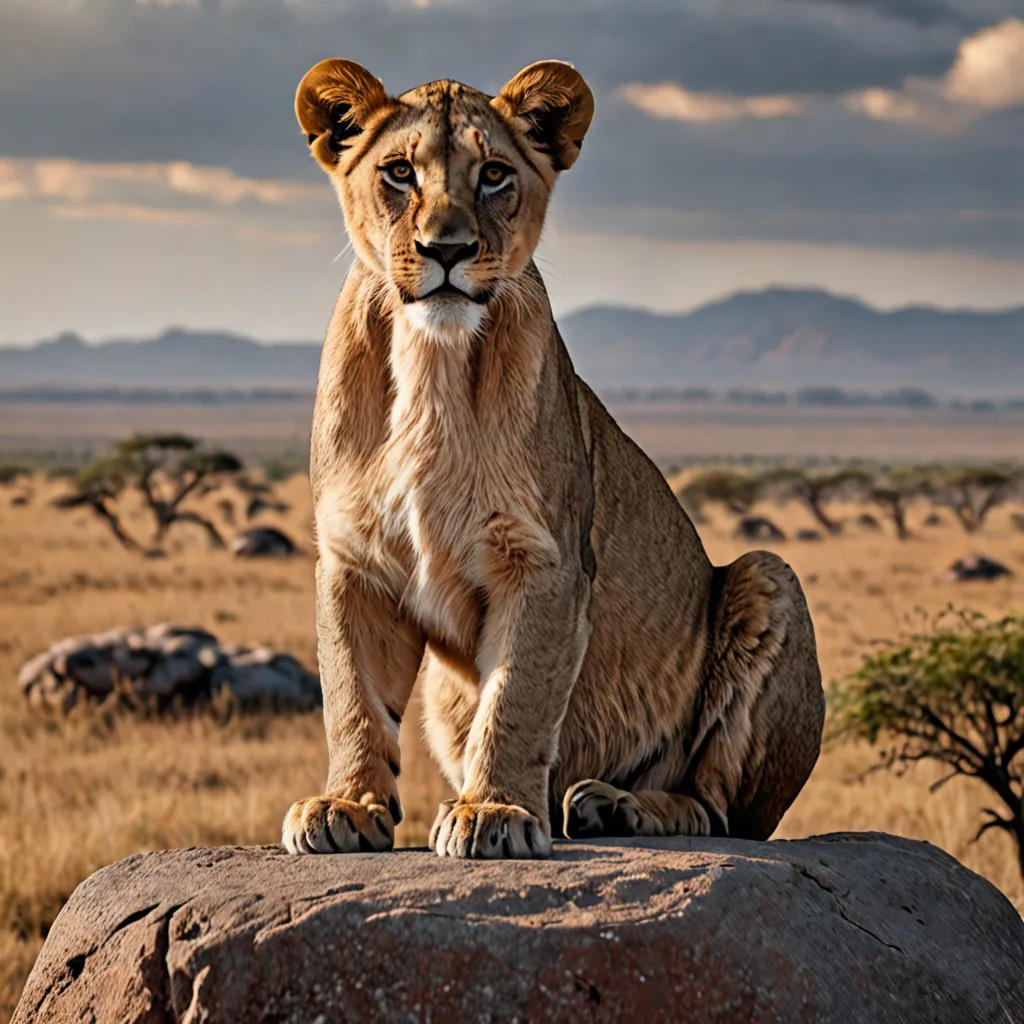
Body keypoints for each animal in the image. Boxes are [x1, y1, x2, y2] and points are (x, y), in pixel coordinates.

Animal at [282, 58, 825, 859]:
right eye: (400, 172)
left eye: (495, 175)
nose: (448, 249)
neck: (433, 356)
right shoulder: (354, 558)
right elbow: (351, 694)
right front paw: (346, 804)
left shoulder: (544, 559)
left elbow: (517, 697)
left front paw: (492, 812)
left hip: (768, 574)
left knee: (720, 810)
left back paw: (616, 804)